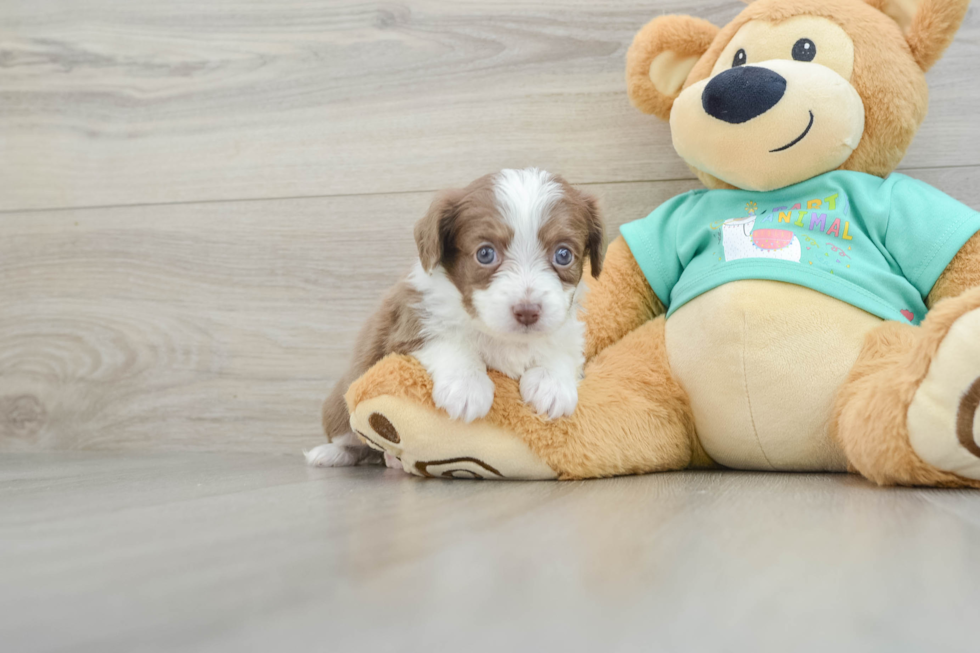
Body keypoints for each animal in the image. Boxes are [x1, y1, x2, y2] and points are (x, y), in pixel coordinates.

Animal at [306, 166, 600, 466]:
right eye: (485, 253)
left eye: (563, 254)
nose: (528, 311)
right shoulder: (410, 322)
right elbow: (448, 341)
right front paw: (467, 387)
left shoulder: (566, 327)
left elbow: (562, 349)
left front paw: (552, 384)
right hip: (340, 407)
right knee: (353, 439)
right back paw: (332, 453)